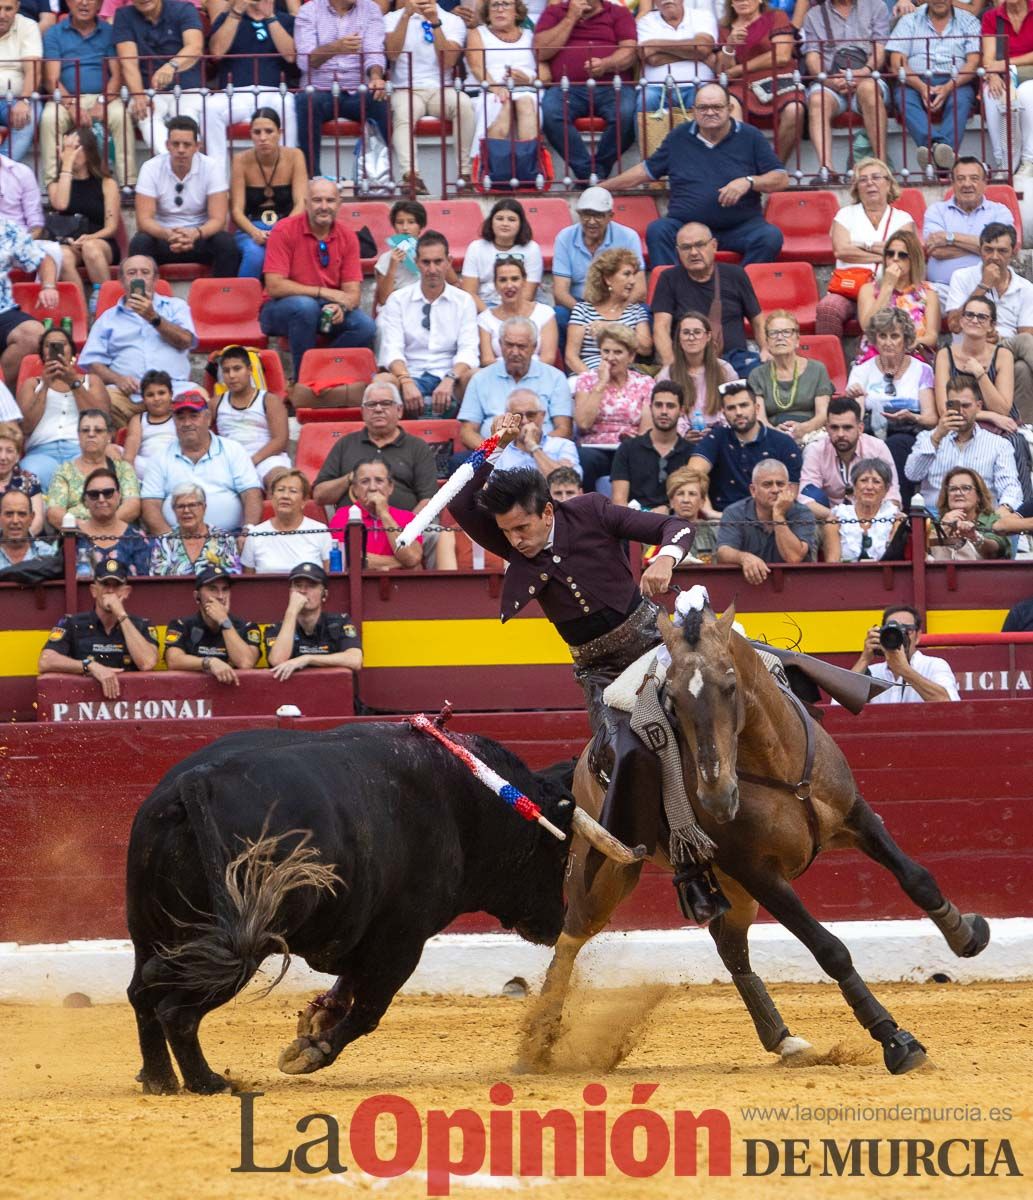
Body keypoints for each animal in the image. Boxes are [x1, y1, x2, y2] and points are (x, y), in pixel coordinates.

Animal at [127, 720, 628, 1099]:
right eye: (558, 852)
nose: (556, 923)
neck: (466, 802)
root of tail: (196, 782)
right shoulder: (403, 938)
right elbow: (369, 1008)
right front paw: (310, 1051)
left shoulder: (366, 930)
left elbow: (346, 986)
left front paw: (313, 1025)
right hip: (245, 944)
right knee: (177, 1011)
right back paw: (207, 1082)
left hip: (153, 932)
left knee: (141, 994)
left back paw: (159, 1079)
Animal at [523, 604, 993, 1075]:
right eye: (672, 699)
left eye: (731, 685)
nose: (716, 796)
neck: (775, 764)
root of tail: (583, 764)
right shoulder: (757, 872)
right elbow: (829, 948)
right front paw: (895, 1039)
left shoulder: (855, 815)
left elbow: (916, 878)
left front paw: (967, 934)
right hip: (609, 874)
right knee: (569, 938)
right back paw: (537, 1044)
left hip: (730, 889)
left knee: (730, 947)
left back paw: (783, 1040)